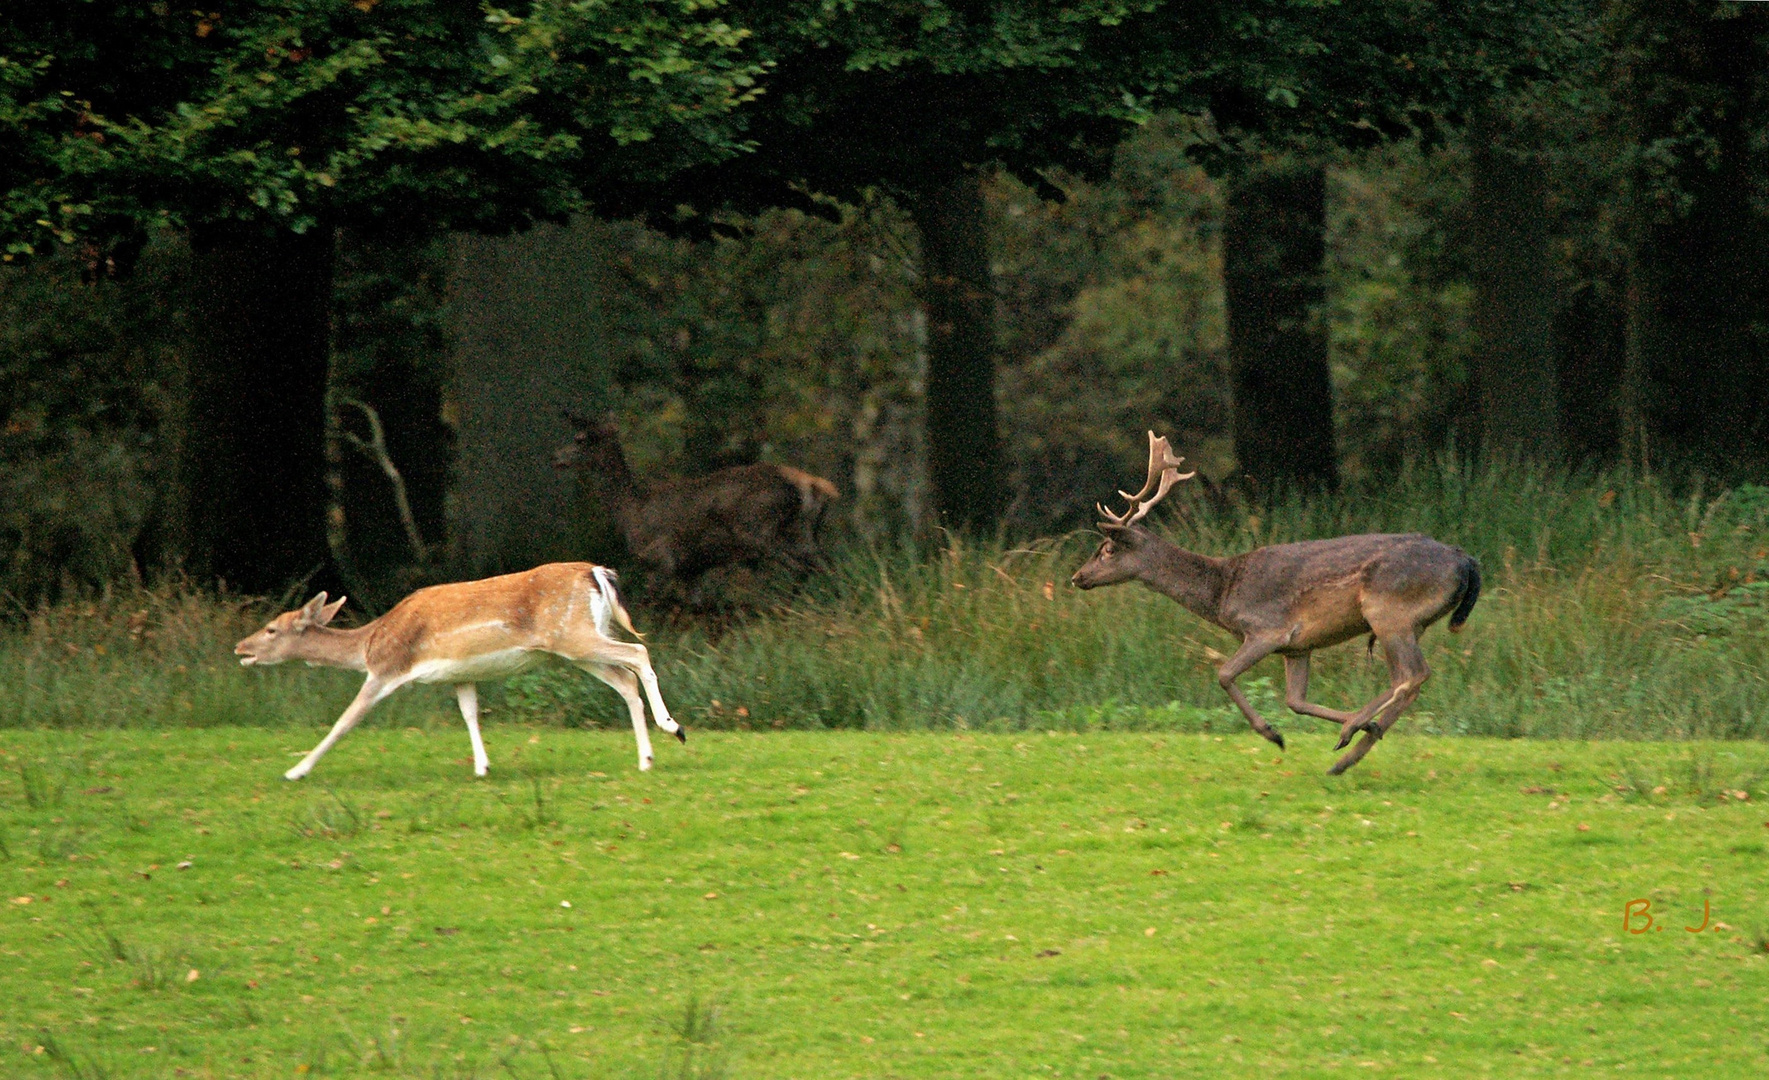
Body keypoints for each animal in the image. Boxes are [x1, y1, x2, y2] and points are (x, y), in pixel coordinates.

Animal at [235, 562, 675, 781]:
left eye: (272, 628)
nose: (241, 648)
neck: (368, 644)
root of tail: (597, 572)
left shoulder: (385, 669)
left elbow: (344, 722)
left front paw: (296, 770)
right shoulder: (461, 674)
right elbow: (469, 713)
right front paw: (482, 767)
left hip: (573, 635)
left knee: (638, 651)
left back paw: (672, 726)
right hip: (573, 647)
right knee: (625, 680)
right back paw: (646, 759)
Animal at [1068, 433, 1485, 777]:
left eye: (1106, 549)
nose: (1077, 577)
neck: (1224, 591)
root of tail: (1466, 560)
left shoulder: (1268, 629)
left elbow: (1224, 674)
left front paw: (1274, 735)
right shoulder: (1298, 647)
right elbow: (1295, 700)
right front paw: (1345, 725)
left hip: (1388, 611)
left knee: (1412, 675)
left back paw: (1350, 736)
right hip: (1406, 621)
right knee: (1407, 680)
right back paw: (1355, 741)